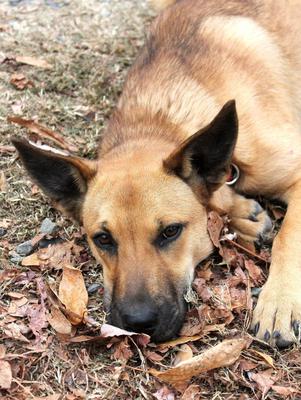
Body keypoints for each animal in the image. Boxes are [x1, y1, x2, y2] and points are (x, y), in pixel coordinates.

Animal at [12, 0, 300, 346]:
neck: (159, 121)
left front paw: (279, 302)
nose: (139, 323)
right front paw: (240, 213)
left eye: (170, 232)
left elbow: (289, 236)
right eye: (103, 239)